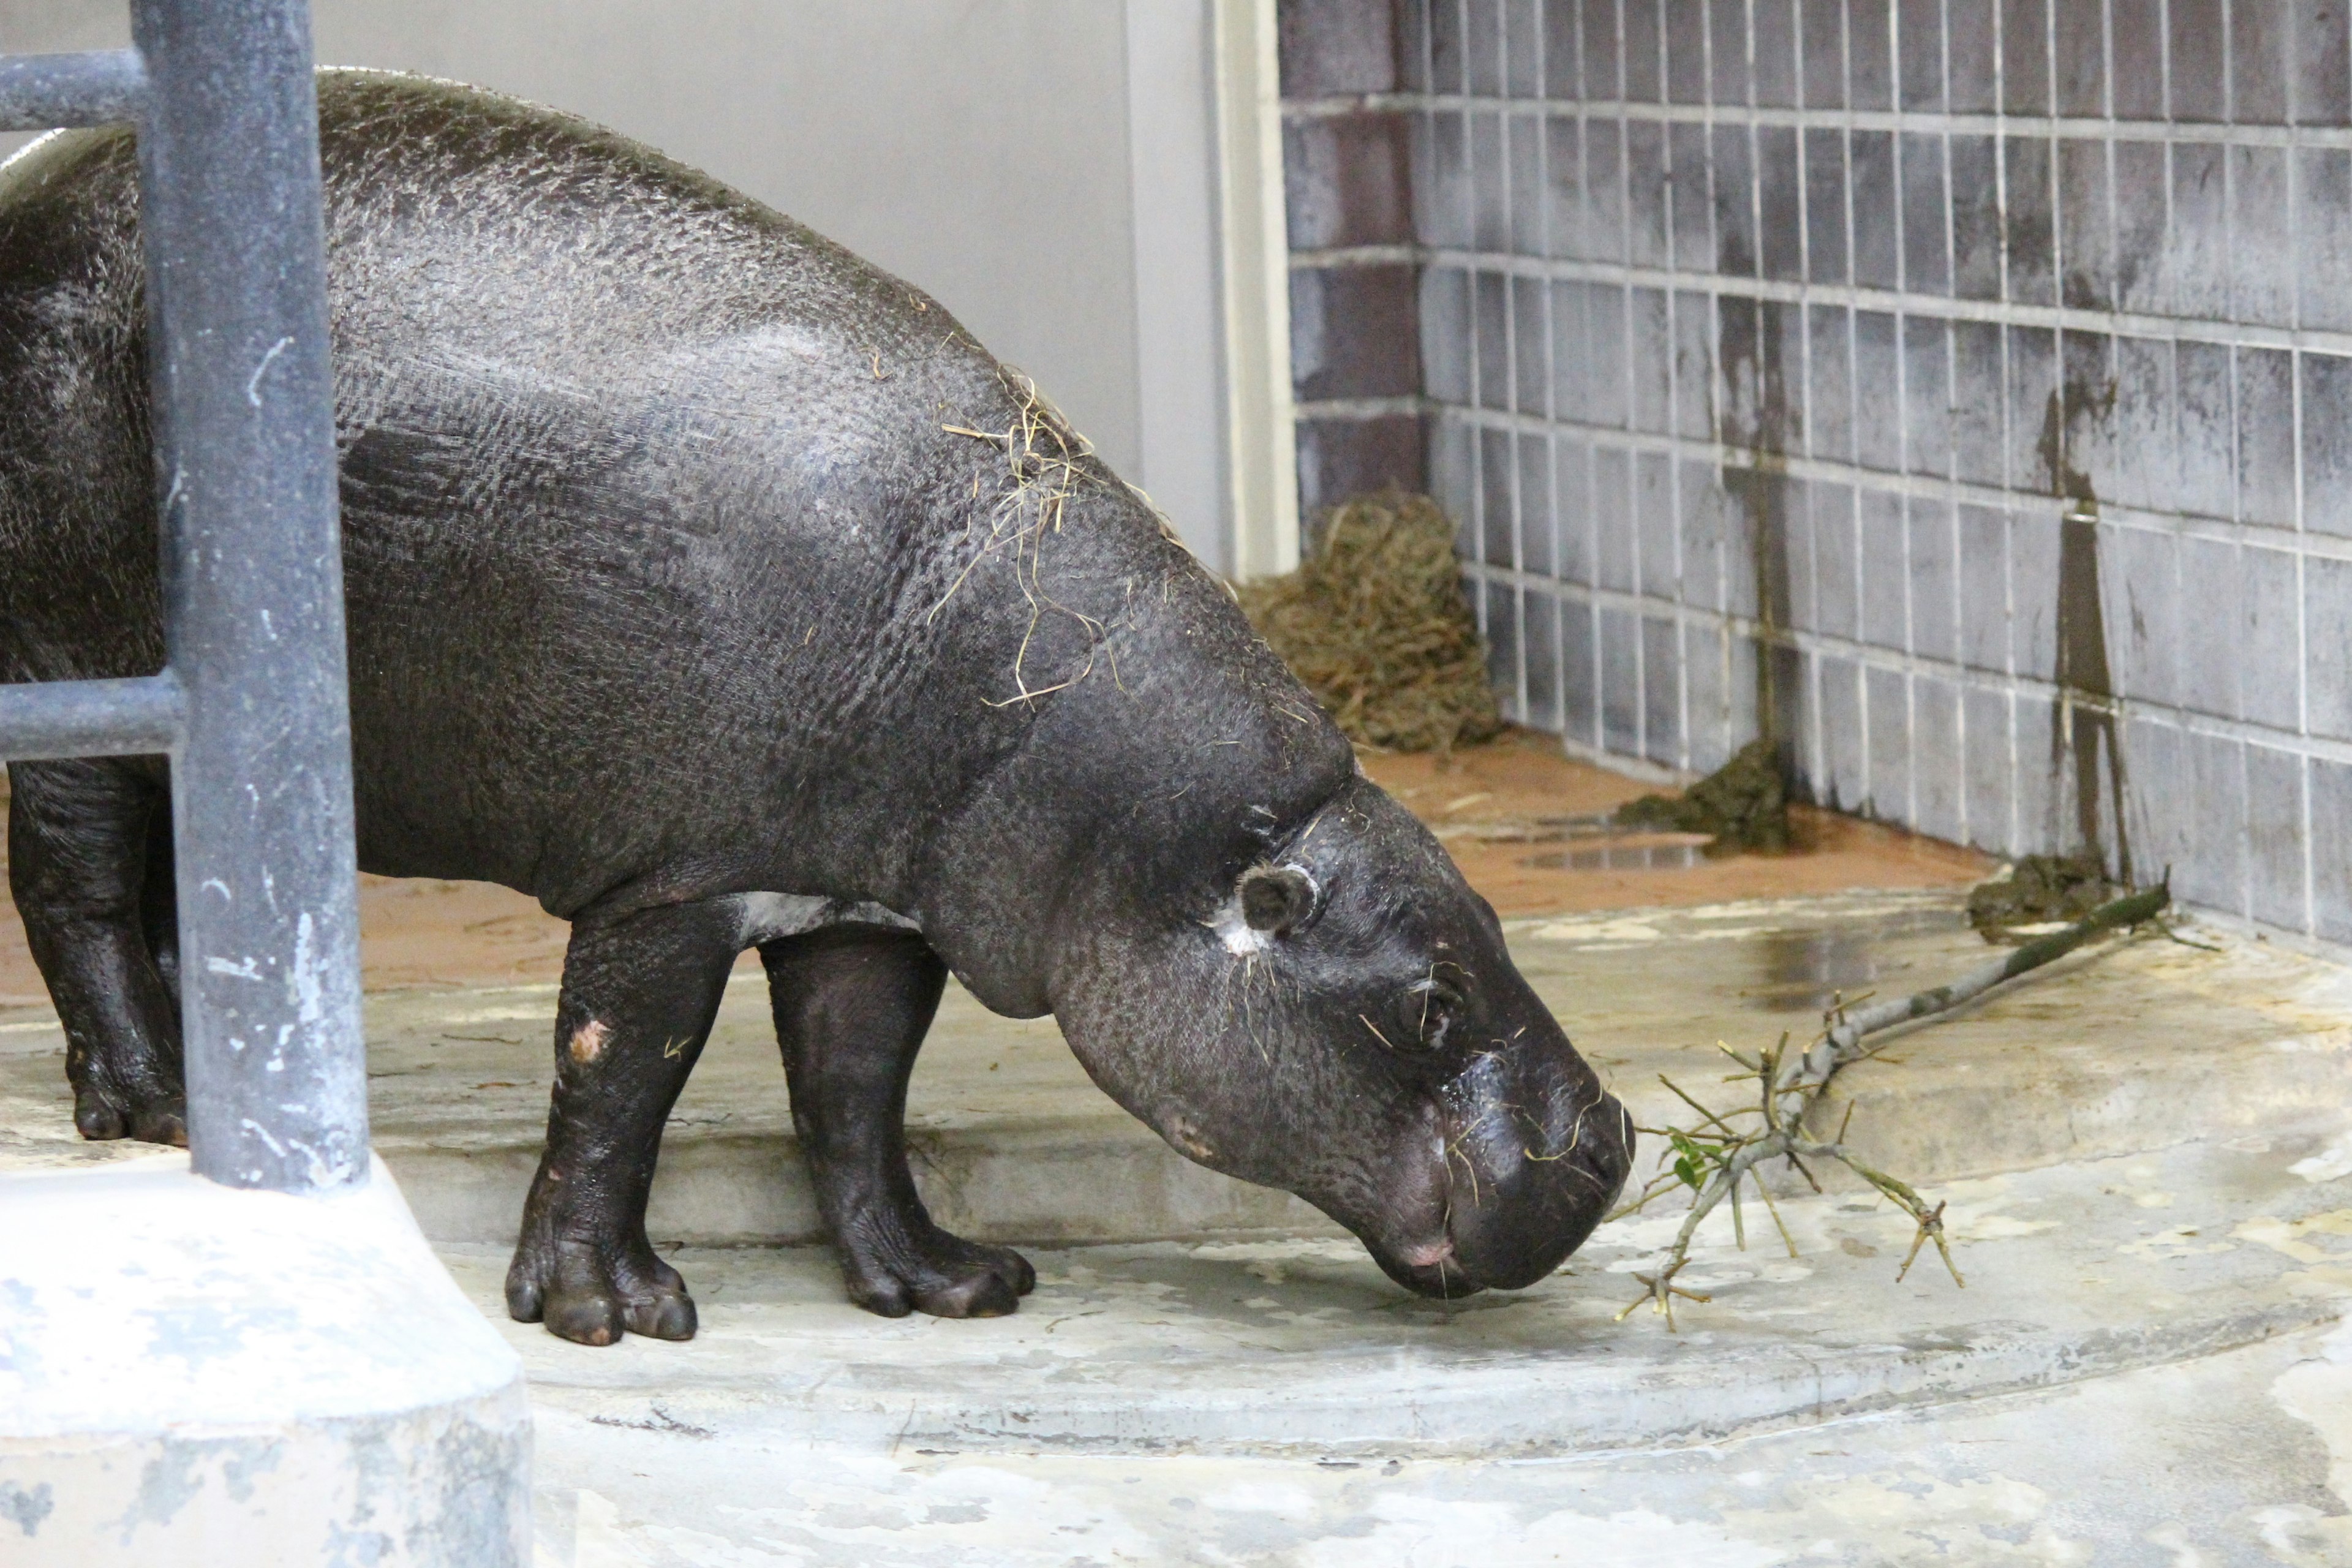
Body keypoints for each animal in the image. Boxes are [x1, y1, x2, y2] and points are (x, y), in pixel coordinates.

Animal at [0, 76, 1627, 1354]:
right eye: (1426, 1000)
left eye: (1493, 922)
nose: (1607, 1143)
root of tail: (31, 185)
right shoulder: (674, 873)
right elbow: (619, 1076)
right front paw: (612, 1312)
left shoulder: (867, 902)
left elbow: (855, 1089)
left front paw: (949, 1284)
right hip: (75, 661)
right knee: (78, 885)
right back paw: (153, 1104)